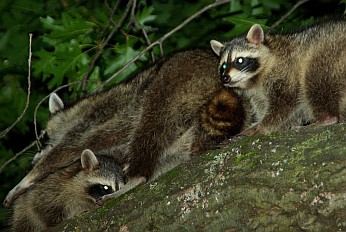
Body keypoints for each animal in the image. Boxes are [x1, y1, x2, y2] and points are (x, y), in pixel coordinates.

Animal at [209, 19, 346, 138]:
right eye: (223, 66)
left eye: (240, 60)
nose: (225, 78)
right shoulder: (258, 94)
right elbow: (279, 112)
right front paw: (255, 126)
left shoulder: (285, 70)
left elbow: (284, 102)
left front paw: (262, 127)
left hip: (327, 52)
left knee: (315, 78)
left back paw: (327, 118)